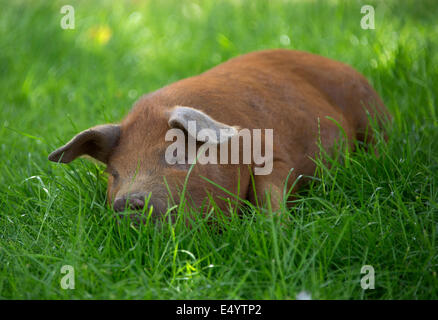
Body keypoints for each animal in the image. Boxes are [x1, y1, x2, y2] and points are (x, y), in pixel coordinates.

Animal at [48, 48, 390, 219]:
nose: (127, 201)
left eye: (179, 157)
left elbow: (269, 192)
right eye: (114, 174)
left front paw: (275, 227)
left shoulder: (274, 155)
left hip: (370, 111)